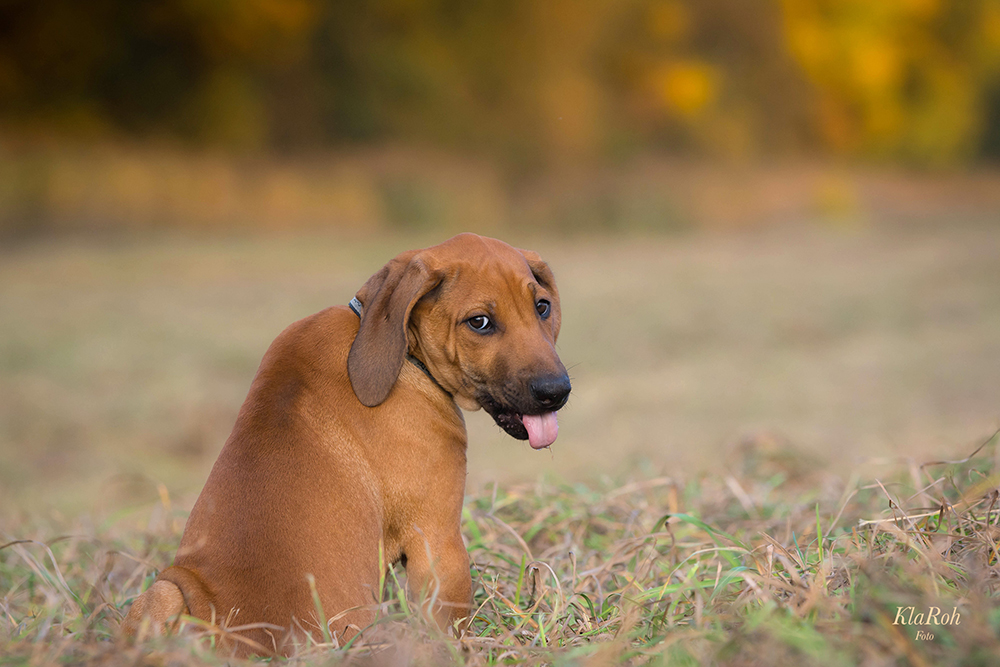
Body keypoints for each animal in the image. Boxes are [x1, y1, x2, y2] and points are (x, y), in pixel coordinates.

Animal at [121, 235, 572, 656]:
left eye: (542, 307)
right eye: (479, 322)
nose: (556, 391)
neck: (402, 357)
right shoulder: (437, 541)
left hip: (162, 592)